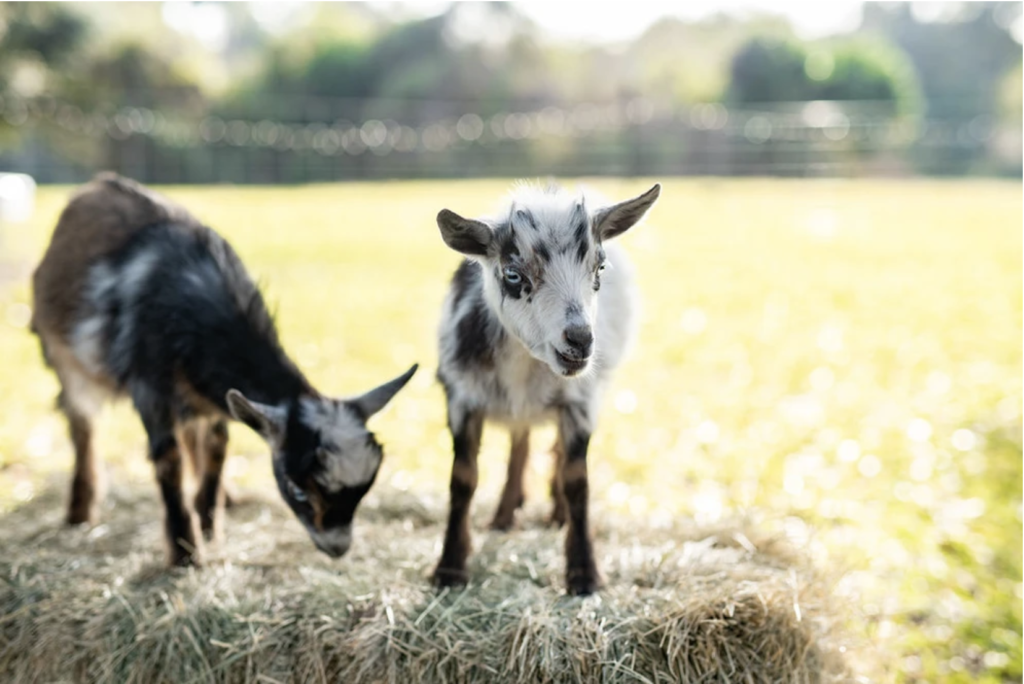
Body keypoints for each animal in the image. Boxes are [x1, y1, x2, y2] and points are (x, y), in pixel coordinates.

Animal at [430, 181, 655, 593]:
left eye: (600, 267)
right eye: (513, 274)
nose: (580, 340)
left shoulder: (580, 403)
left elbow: (576, 481)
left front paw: (584, 573)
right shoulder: (461, 397)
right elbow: (462, 480)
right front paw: (449, 568)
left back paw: (554, 513)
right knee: (520, 440)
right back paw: (504, 514)